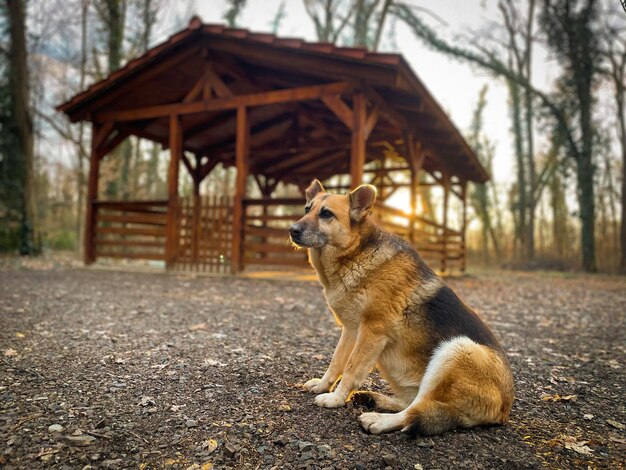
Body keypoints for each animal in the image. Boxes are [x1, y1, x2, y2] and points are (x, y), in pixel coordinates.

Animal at [288, 180, 512, 436]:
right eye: (307, 209)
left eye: (326, 214)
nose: (292, 230)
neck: (355, 253)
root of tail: (503, 411)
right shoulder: (351, 330)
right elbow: (337, 362)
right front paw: (324, 385)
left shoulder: (371, 333)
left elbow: (352, 368)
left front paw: (335, 398)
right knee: (412, 403)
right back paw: (376, 399)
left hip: (456, 349)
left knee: (415, 410)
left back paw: (379, 419)